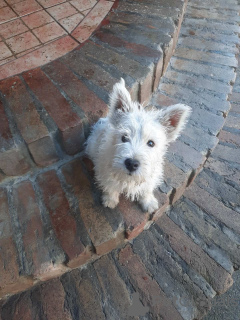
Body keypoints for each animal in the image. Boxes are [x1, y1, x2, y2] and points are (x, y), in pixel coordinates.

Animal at [85, 78, 190, 212]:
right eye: (124, 137)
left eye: (151, 143)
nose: (131, 164)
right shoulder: (105, 169)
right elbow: (109, 186)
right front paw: (110, 200)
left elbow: (147, 188)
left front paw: (149, 202)